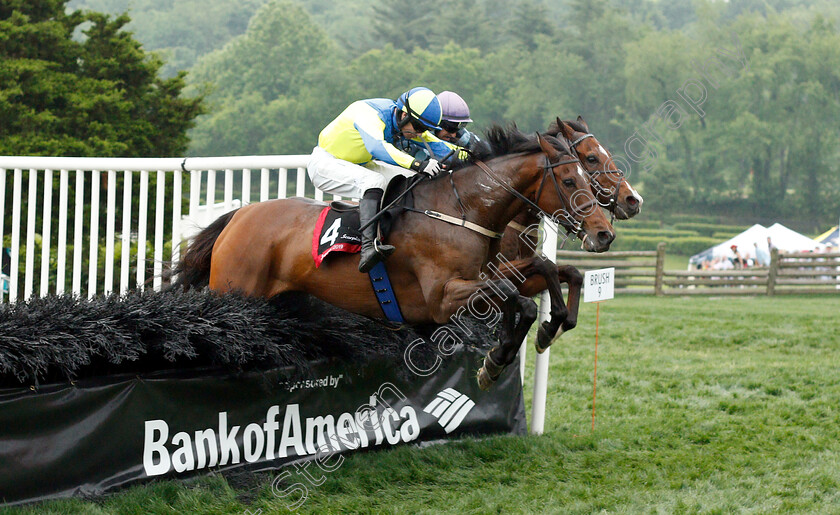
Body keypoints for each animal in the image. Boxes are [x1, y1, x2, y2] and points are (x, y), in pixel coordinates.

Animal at [176, 127, 616, 390]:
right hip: (235, 288)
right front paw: (495, 362)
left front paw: (552, 326)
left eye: (588, 170)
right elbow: (518, 298)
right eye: (572, 178)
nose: (604, 233)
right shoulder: (442, 299)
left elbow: (551, 270)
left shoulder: (485, 274)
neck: (462, 209)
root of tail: (239, 215)